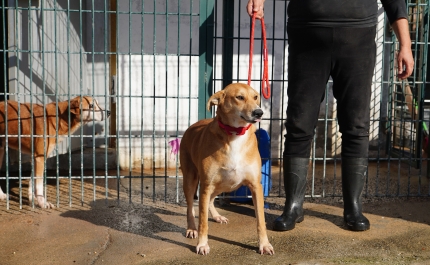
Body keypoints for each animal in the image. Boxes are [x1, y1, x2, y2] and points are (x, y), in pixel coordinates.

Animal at [179, 82, 274, 254]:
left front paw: (264, 244)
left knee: (210, 200)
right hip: (192, 180)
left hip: (221, 185)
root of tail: (193, 125)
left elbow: (261, 221)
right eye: (240, 97)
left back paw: (217, 216)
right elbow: (203, 221)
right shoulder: (206, 185)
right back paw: (191, 229)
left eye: (256, 97)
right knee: (190, 207)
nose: (259, 112)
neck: (235, 134)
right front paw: (202, 244)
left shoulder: (256, 186)